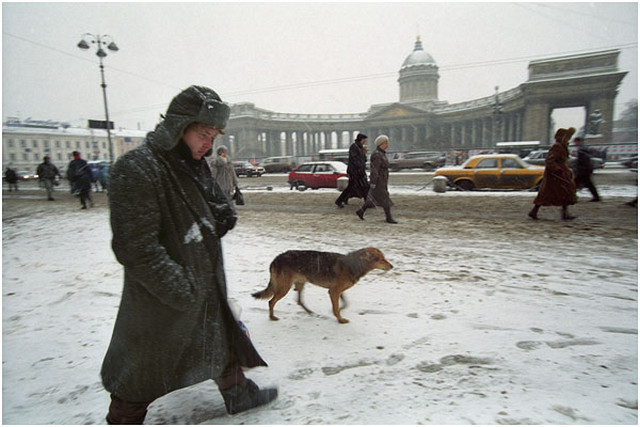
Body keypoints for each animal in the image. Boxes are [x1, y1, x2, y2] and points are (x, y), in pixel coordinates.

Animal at [252, 247, 392, 324]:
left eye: (384, 257)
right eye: (378, 259)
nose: (392, 266)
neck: (353, 265)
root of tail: (275, 259)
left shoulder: (337, 291)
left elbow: (344, 304)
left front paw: (338, 312)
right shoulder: (334, 291)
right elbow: (337, 308)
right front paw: (340, 320)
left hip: (300, 284)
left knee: (299, 301)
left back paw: (309, 312)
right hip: (284, 288)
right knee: (271, 301)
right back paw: (272, 317)